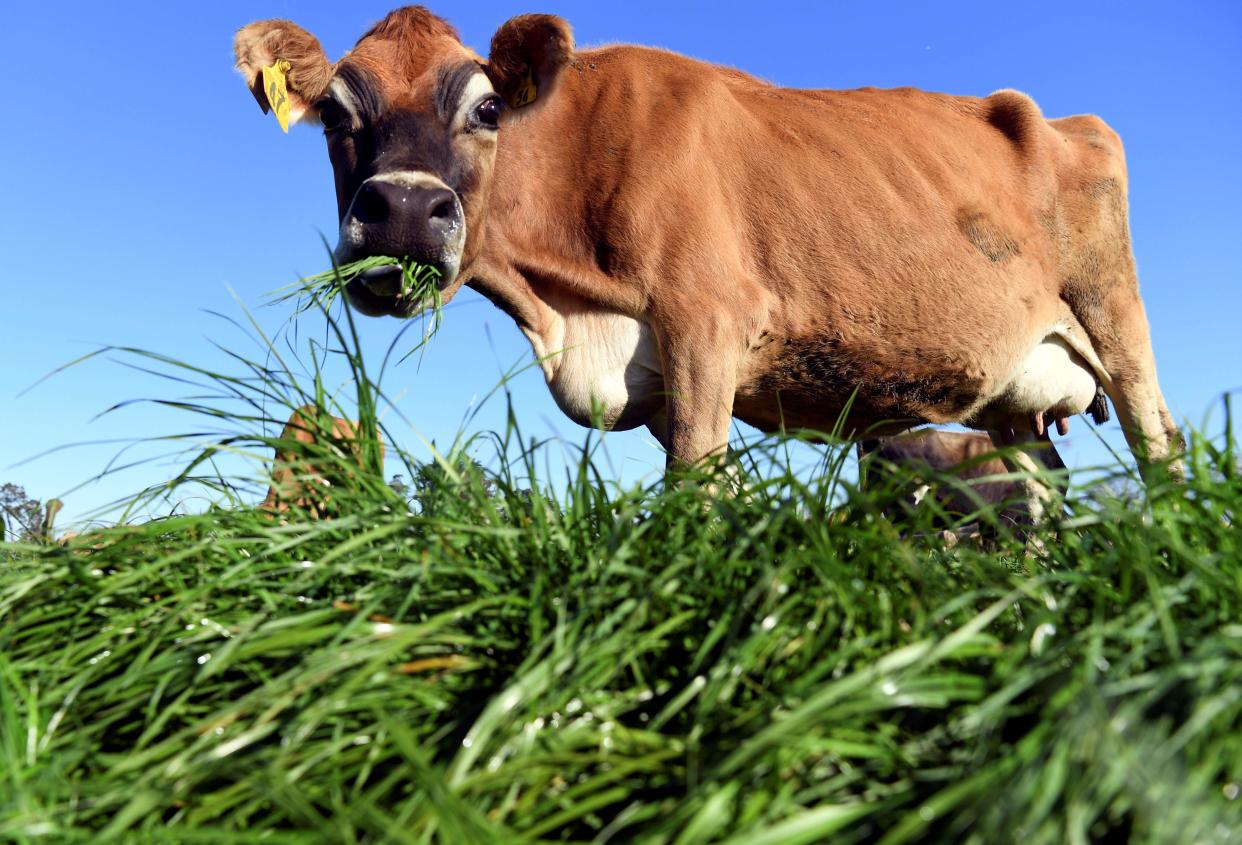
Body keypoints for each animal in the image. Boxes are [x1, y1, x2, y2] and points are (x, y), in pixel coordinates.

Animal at [234, 9, 1182, 509]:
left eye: (489, 107)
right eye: (334, 115)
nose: (401, 211)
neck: (562, 311)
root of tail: (1056, 117)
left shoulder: (706, 323)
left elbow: (694, 486)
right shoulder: (656, 371)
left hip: (1116, 323)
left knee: (1159, 446)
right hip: (1016, 399)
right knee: (1038, 491)